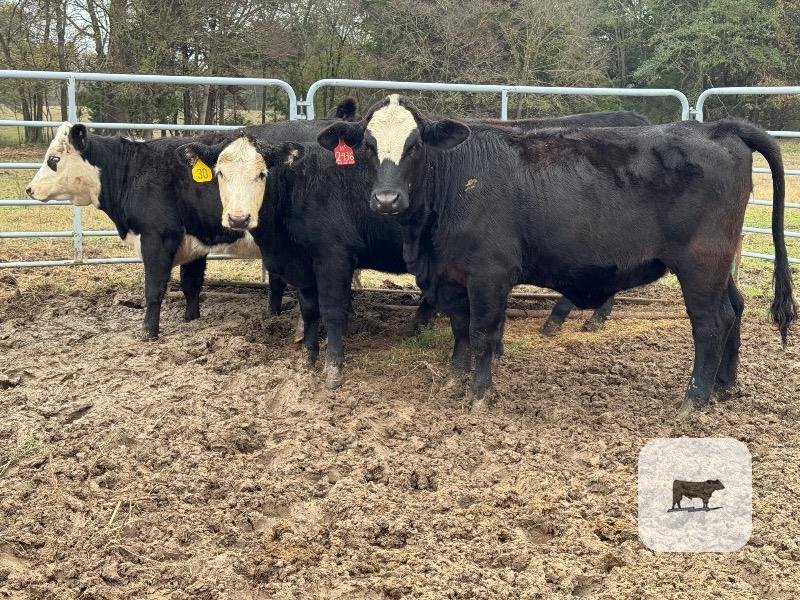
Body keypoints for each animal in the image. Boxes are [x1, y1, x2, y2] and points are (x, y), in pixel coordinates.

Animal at [24, 103, 359, 339]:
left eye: (53, 160)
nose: (29, 189)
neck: (134, 171)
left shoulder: (157, 238)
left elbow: (154, 288)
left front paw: (148, 332)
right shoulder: (194, 241)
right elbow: (190, 284)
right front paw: (191, 319)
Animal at [176, 135, 436, 389]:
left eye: (262, 174)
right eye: (220, 173)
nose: (238, 219)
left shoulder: (334, 257)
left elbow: (332, 311)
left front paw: (333, 369)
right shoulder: (302, 265)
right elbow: (309, 310)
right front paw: (308, 356)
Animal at [317, 94, 796, 412]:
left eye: (415, 144)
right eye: (367, 145)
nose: (386, 200)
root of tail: (715, 128)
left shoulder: (489, 273)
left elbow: (482, 332)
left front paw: (479, 395)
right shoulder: (450, 274)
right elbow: (459, 328)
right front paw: (454, 379)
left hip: (700, 263)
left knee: (710, 324)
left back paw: (693, 400)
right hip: (718, 264)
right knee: (734, 309)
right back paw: (724, 385)